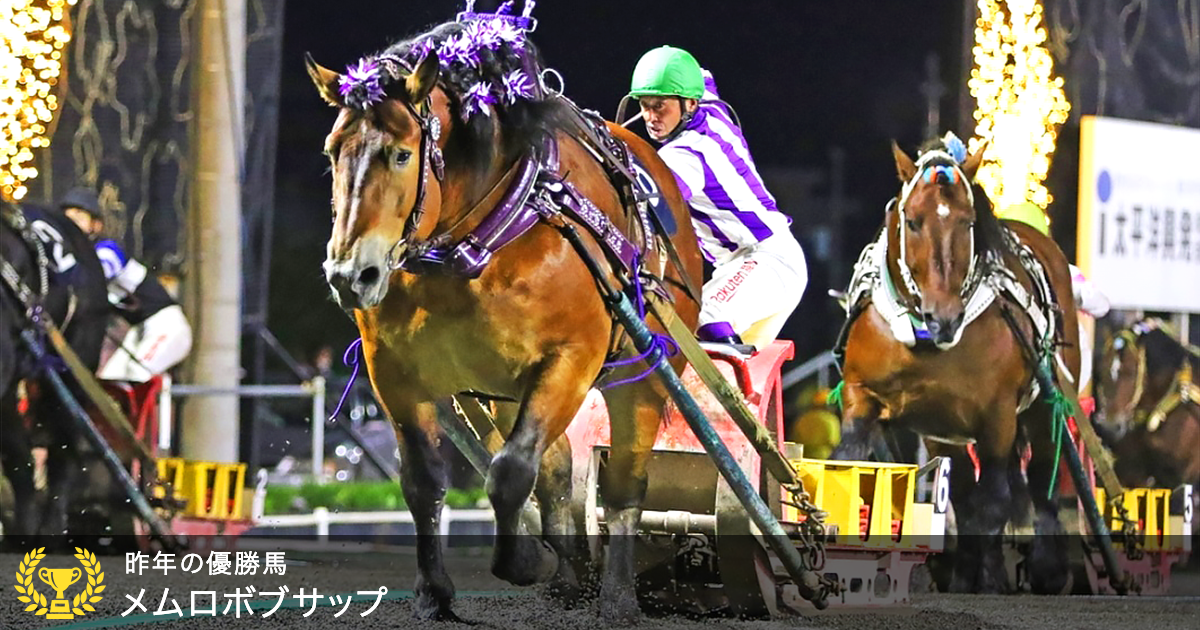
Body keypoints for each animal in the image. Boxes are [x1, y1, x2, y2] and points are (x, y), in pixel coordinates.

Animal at [306, 16, 701, 623]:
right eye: (333, 152)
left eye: (400, 154)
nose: (351, 274)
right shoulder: (393, 370)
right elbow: (425, 481)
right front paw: (435, 591)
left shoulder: (570, 359)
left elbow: (511, 471)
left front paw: (525, 562)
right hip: (505, 391)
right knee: (557, 473)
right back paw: (572, 577)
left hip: (646, 375)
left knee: (623, 485)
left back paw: (615, 596)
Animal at [832, 135, 1081, 594]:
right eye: (913, 221)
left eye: (967, 223)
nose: (943, 316)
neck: (924, 341)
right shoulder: (863, 393)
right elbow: (848, 465)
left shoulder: (998, 415)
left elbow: (994, 503)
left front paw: (985, 578)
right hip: (944, 431)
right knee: (965, 494)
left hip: (1040, 403)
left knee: (1040, 478)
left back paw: (1043, 569)